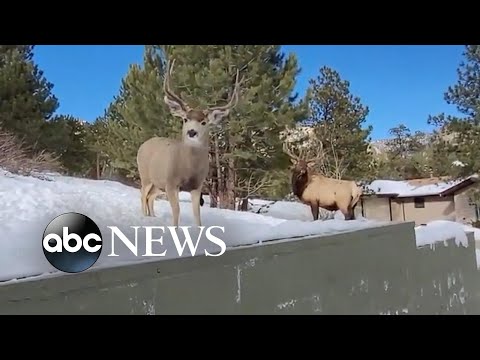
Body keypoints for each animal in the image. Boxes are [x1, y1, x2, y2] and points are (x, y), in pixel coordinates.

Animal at [137, 59, 244, 228]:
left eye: (204, 122)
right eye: (185, 119)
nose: (192, 132)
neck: (188, 169)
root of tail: (144, 144)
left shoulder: (197, 186)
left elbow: (197, 215)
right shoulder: (171, 183)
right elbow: (177, 212)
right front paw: (175, 229)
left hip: (157, 183)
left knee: (150, 197)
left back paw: (152, 217)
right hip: (145, 176)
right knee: (143, 195)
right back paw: (145, 218)